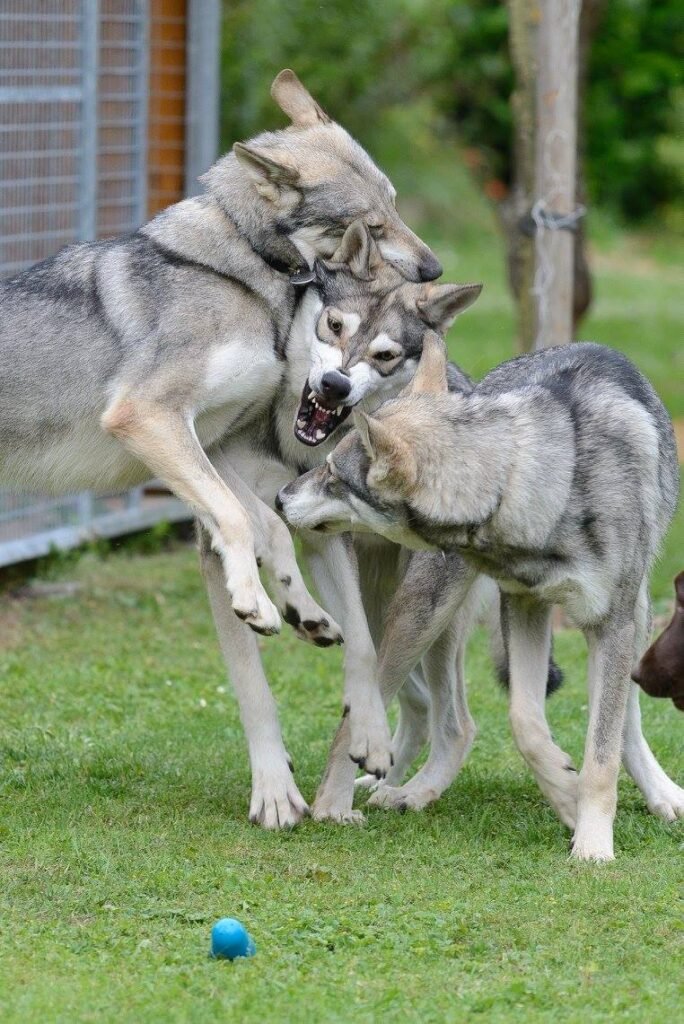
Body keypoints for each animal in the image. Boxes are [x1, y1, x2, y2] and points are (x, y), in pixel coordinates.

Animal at [0, 69, 440, 643]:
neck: (246, 272)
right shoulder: (150, 419)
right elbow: (235, 518)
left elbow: (268, 524)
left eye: (393, 203)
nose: (434, 269)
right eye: (372, 225)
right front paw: (254, 604)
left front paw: (303, 611)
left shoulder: (210, 442)